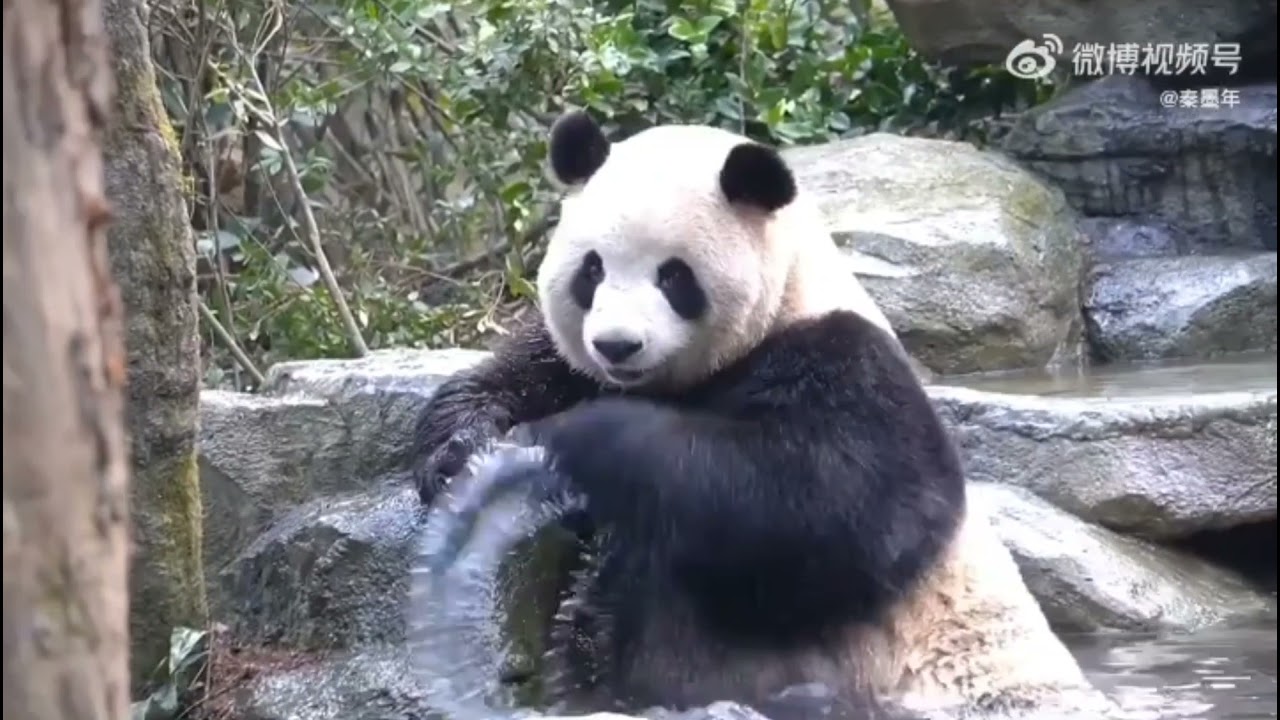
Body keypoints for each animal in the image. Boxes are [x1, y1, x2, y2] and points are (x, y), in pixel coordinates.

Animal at [410, 110, 1105, 719]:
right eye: (592, 269)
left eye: (673, 277)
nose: (617, 345)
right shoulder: (568, 361)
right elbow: (517, 373)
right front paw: (460, 451)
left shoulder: (842, 358)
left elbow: (832, 506)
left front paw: (576, 439)